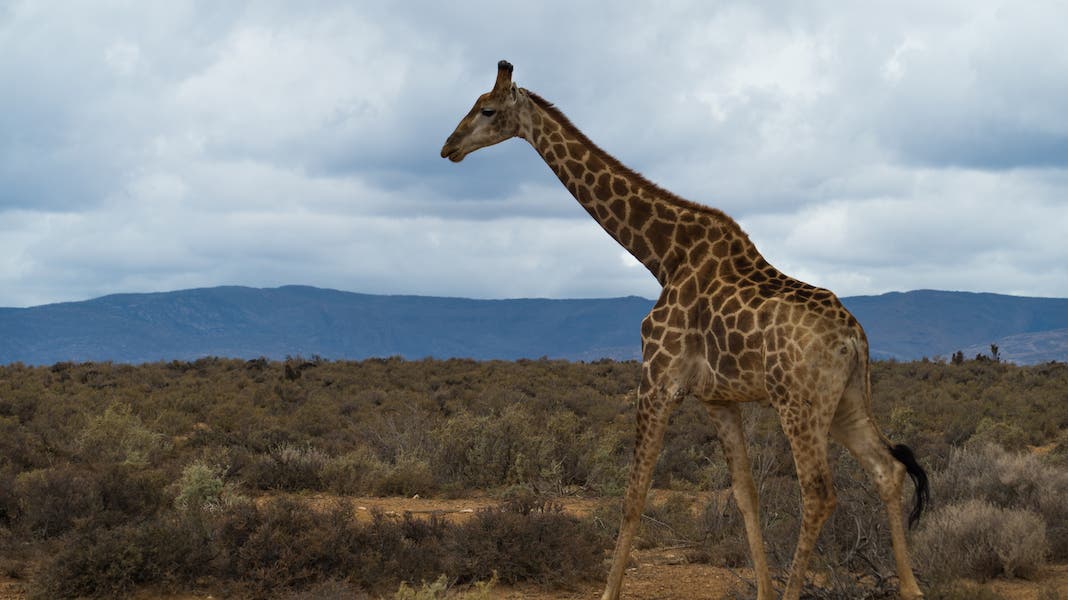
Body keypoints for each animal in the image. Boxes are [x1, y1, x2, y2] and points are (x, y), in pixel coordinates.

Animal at [441, 60, 929, 600]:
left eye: (487, 109)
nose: (448, 146)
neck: (662, 255)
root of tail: (855, 339)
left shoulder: (657, 380)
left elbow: (633, 495)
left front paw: (609, 592)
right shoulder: (717, 398)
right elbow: (745, 494)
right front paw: (761, 588)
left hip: (797, 402)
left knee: (820, 493)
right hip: (845, 401)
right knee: (888, 470)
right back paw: (911, 588)